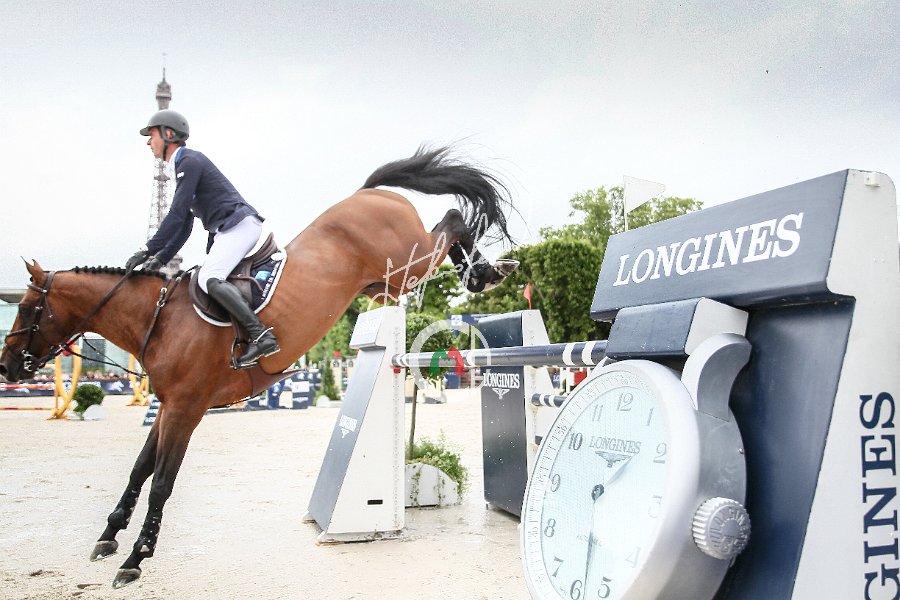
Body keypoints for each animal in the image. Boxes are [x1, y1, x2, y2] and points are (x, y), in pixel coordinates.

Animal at [0, 146, 517, 588]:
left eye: (23, 309)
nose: (7, 368)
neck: (160, 320)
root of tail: (367, 193)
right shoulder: (167, 406)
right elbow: (139, 470)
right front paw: (109, 536)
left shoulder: (186, 409)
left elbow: (162, 483)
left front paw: (136, 558)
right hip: (385, 284)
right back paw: (480, 272)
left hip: (409, 262)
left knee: (450, 222)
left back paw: (486, 272)